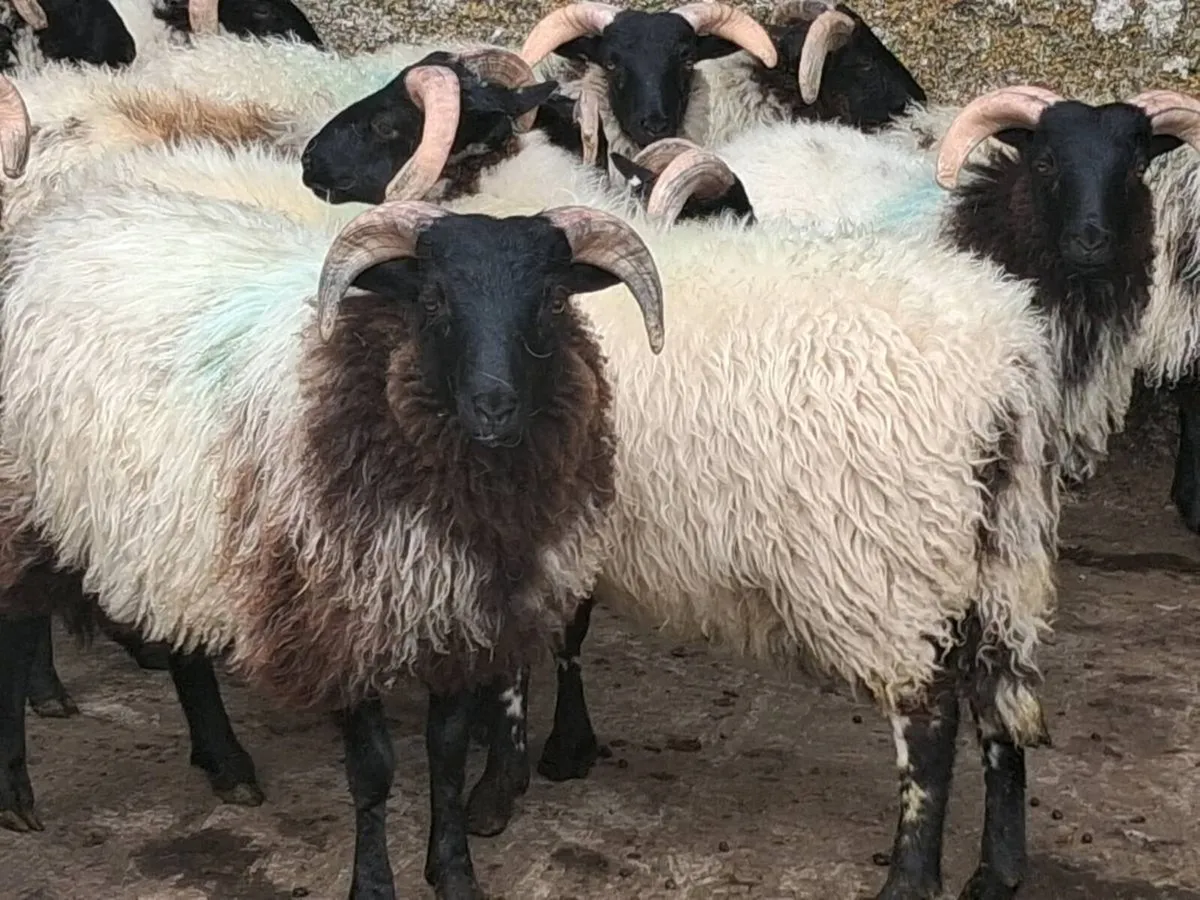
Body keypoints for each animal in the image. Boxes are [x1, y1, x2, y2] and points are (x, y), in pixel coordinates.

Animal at [0, 180, 665, 898]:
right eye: (433, 299)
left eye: (551, 299)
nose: (494, 406)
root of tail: (56, 224)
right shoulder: (343, 615)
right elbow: (373, 769)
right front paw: (372, 884)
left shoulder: (462, 615)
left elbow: (448, 756)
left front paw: (454, 872)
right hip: (27, 500)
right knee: (17, 636)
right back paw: (18, 792)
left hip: (175, 525)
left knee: (180, 641)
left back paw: (226, 763)